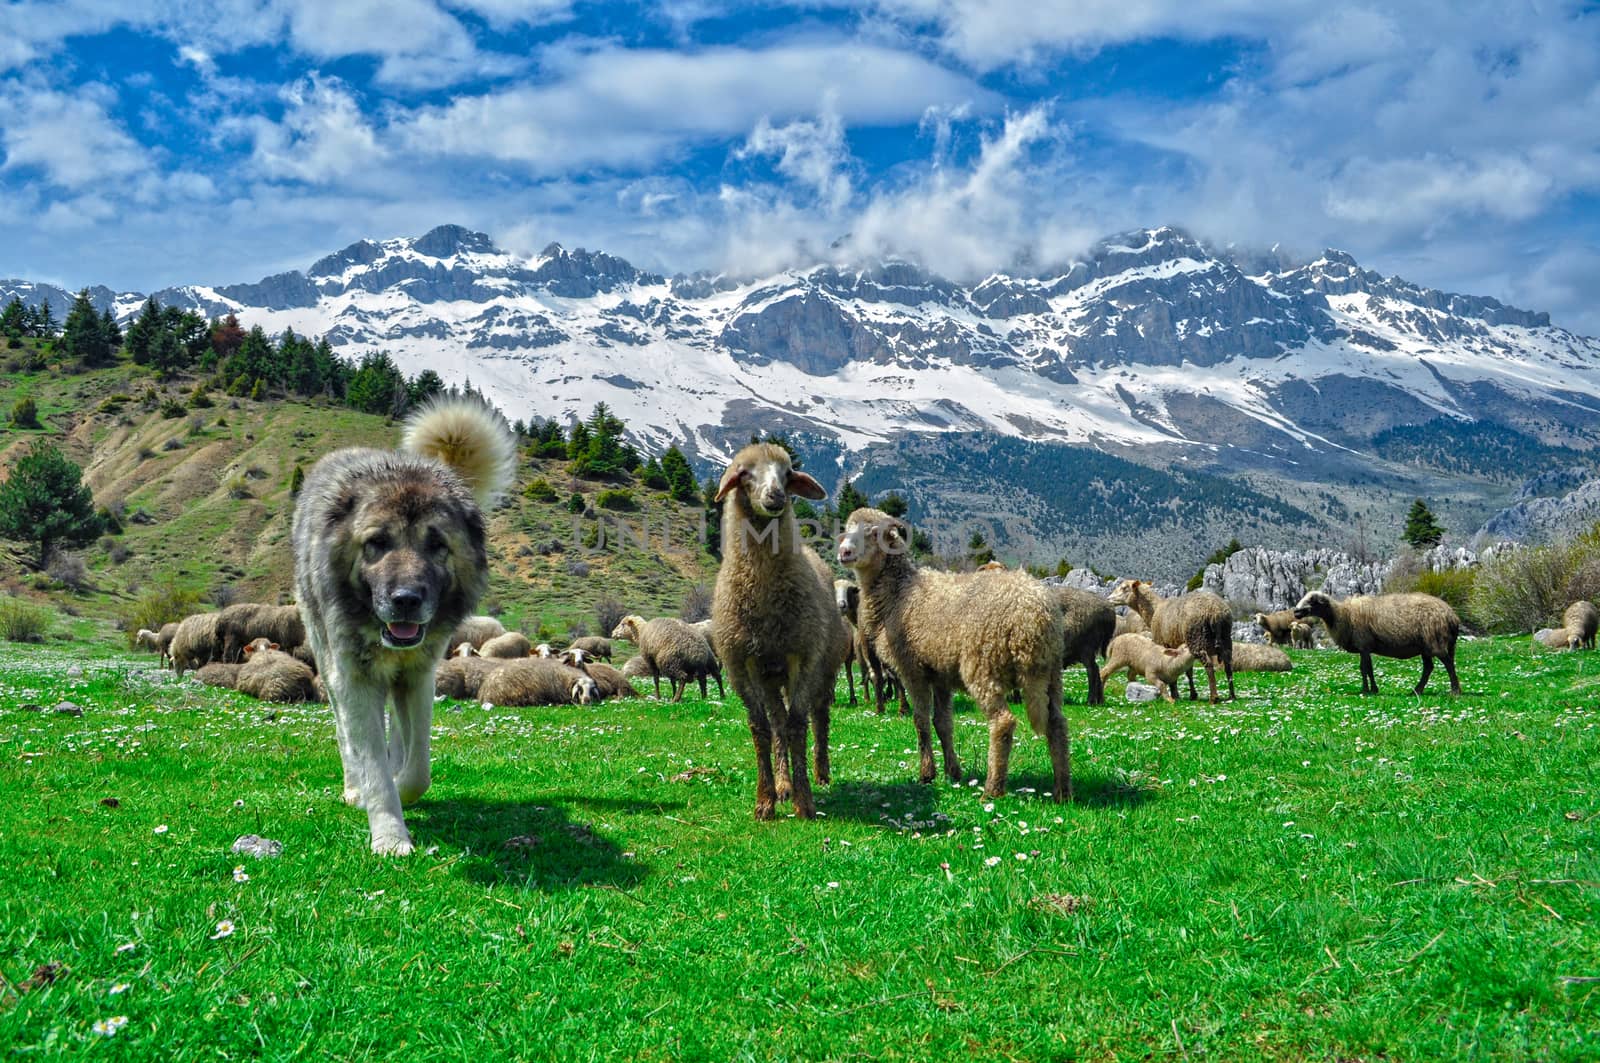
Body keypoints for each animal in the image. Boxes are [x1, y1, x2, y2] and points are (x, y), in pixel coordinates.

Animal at [289, 392, 512, 858]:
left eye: (437, 544)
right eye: (377, 542)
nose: (406, 600)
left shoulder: (418, 677)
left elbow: (417, 768)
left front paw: (402, 782)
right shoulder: (354, 681)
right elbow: (372, 767)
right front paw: (390, 837)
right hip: (329, 663)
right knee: (346, 737)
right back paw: (354, 787)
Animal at [716, 441, 857, 819]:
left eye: (788, 472)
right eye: (743, 472)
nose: (776, 495)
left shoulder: (803, 657)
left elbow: (798, 725)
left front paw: (804, 801)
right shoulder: (742, 664)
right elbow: (761, 728)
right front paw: (765, 800)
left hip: (825, 668)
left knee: (818, 717)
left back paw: (820, 772)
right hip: (769, 676)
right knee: (776, 721)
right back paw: (782, 785)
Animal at [838, 505, 1075, 797]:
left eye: (874, 533)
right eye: (847, 529)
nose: (844, 553)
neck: (899, 594)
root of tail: (1033, 615)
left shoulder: (912, 670)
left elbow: (921, 721)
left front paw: (927, 773)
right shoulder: (940, 674)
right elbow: (943, 723)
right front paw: (953, 772)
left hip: (983, 665)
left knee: (1003, 722)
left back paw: (992, 789)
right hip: (1051, 672)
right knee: (1057, 723)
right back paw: (1062, 790)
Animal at [1292, 589, 1459, 697]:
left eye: (1312, 600)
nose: (1296, 612)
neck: (1343, 615)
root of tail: (1451, 615)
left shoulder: (1363, 644)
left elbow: (1364, 669)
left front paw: (1366, 690)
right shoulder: (1365, 648)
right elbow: (1369, 669)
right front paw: (1373, 689)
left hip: (1435, 641)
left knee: (1448, 663)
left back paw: (1455, 690)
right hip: (1425, 646)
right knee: (1429, 668)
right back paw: (1416, 691)